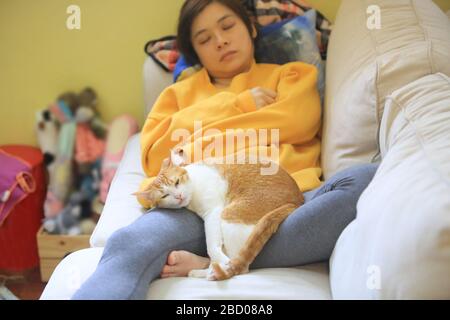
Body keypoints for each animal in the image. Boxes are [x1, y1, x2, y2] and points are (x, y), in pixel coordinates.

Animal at [134, 149, 302, 282]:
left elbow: (211, 245)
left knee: (240, 267)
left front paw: (220, 260)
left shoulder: (213, 212)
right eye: (165, 196)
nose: (179, 196)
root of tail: (296, 201)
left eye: (177, 182)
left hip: (230, 215)